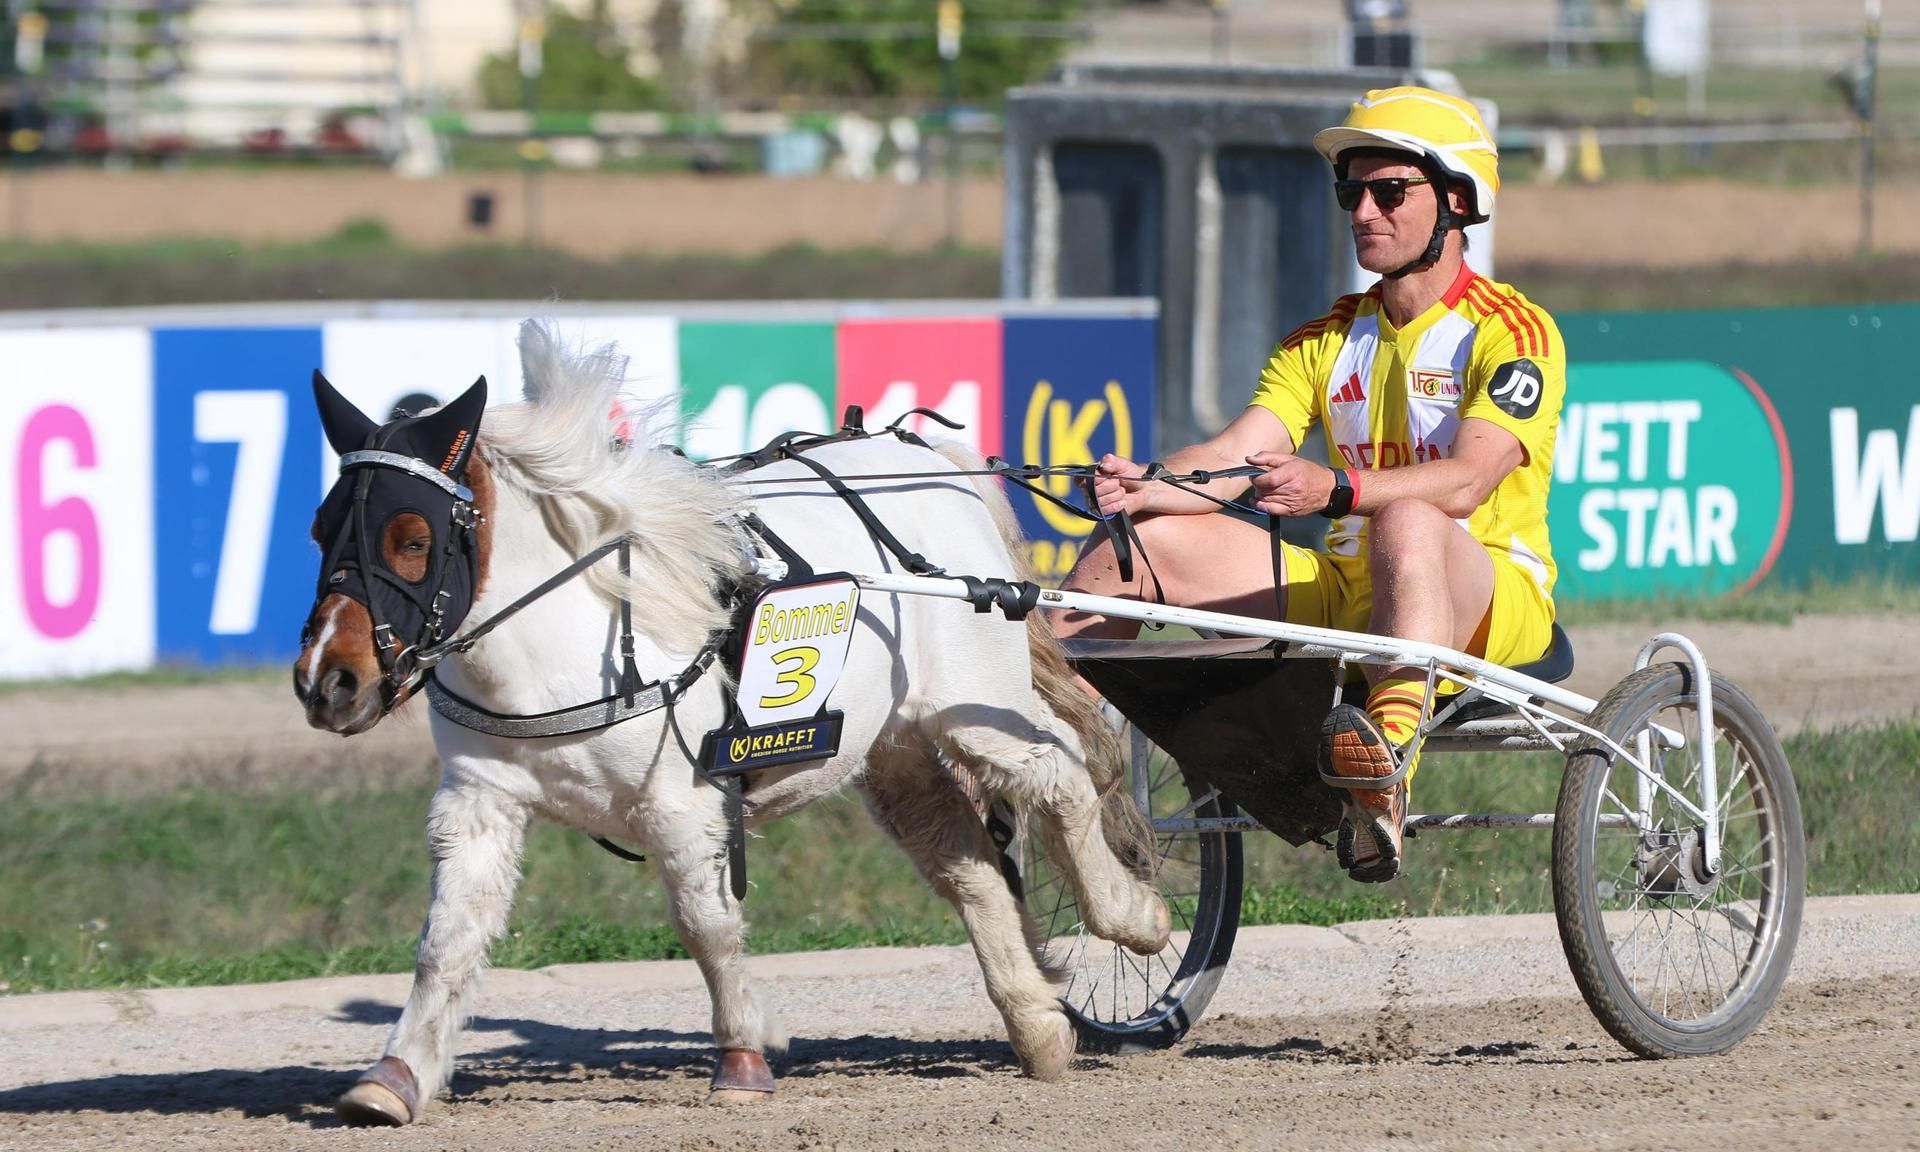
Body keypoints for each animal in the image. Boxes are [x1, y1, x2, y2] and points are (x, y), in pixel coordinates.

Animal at [292, 321, 1171, 1126]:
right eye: (319, 527)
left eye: (412, 539)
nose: (328, 681)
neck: (569, 640)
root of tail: (928, 460)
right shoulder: (480, 802)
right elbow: (446, 943)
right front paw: (395, 1076)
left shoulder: (682, 804)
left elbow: (707, 927)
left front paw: (744, 1055)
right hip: (895, 749)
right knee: (968, 863)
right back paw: (1038, 1024)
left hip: (976, 706)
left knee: (1061, 776)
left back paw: (1135, 917)